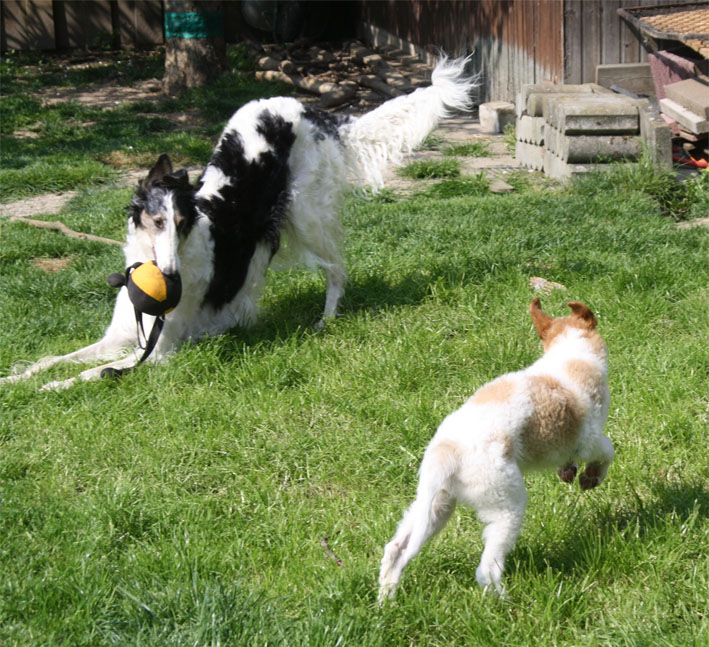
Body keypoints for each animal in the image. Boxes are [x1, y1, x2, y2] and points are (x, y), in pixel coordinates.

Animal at [1, 57, 474, 390]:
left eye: (181, 222)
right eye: (157, 220)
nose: (170, 276)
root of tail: (305, 105)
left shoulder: (160, 352)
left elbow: (89, 373)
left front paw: (52, 387)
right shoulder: (120, 337)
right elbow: (57, 359)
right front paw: (18, 377)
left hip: (307, 214)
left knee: (337, 271)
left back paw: (326, 321)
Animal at [378, 298, 613, 602]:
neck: (572, 353)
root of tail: (446, 451)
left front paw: (569, 472)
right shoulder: (588, 439)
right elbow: (607, 450)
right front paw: (591, 476)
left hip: (434, 505)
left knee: (396, 549)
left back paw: (385, 601)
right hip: (505, 503)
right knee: (486, 570)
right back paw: (507, 603)